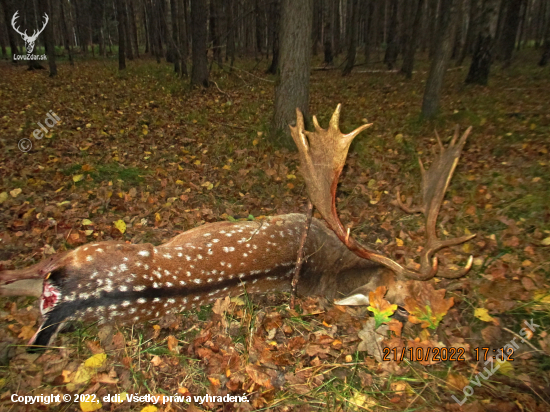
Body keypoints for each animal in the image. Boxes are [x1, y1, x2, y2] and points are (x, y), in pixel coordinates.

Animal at [0, 104, 474, 350]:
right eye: (406, 301)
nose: (446, 312)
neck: (324, 263)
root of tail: (66, 301)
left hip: (93, 248)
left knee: (25, 271)